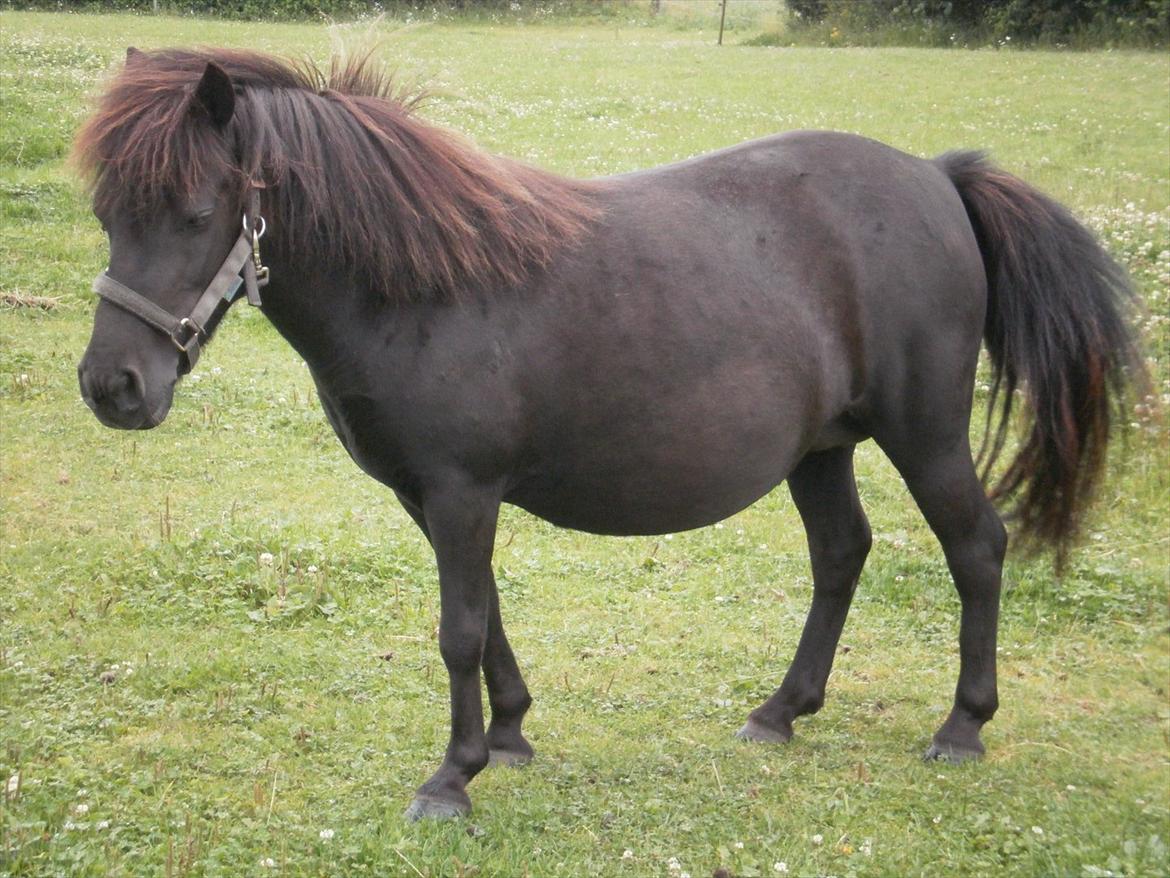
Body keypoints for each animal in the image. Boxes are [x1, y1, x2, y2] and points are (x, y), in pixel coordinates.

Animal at [73, 46, 1141, 819]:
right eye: (106, 211)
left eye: (196, 213)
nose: (112, 388)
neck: (420, 285)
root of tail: (937, 176)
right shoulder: (434, 498)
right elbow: (489, 614)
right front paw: (508, 735)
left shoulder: (461, 491)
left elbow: (458, 629)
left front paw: (452, 777)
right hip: (823, 447)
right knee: (842, 554)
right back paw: (780, 713)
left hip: (923, 435)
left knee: (976, 548)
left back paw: (962, 727)